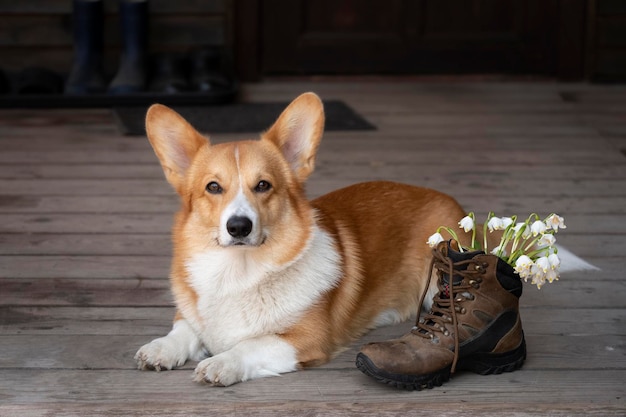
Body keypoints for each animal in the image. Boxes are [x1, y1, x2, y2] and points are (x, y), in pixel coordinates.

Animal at [133, 92, 588, 386]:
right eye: (213, 188)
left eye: (263, 186)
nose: (239, 227)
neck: (240, 274)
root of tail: (455, 205)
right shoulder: (195, 316)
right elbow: (185, 330)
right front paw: (161, 349)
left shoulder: (302, 342)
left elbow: (250, 345)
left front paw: (222, 363)